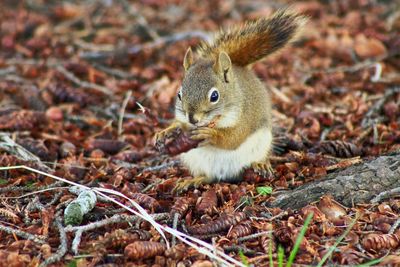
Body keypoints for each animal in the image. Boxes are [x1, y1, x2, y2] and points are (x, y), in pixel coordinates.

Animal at [155, 8, 306, 193]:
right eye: (179, 95)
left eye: (214, 96)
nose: (192, 118)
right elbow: (178, 124)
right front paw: (165, 132)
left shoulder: (245, 117)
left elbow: (233, 138)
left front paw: (211, 135)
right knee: (207, 176)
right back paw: (192, 180)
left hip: (262, 143)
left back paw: (260, 164)